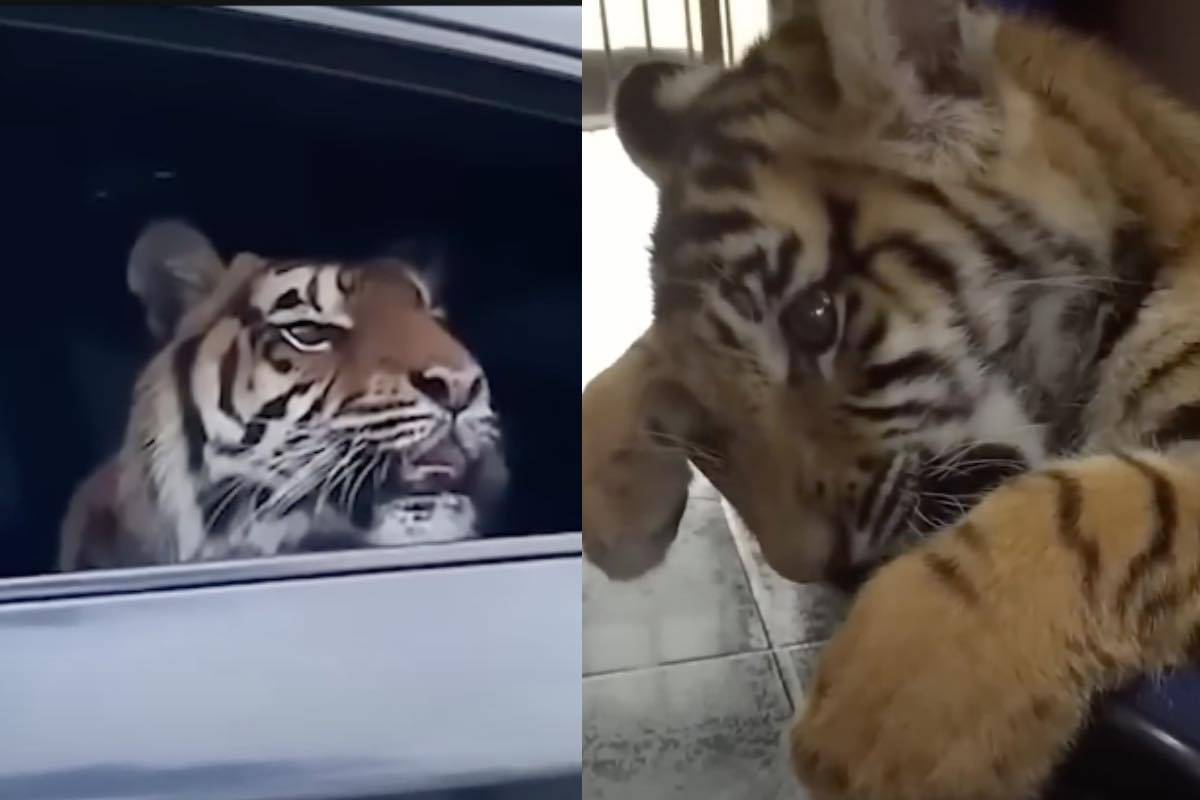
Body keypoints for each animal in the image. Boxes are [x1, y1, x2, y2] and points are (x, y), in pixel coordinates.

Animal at [582, 0, 1200, 797]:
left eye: (815, 319)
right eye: (711, 429)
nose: (819, 573)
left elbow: (1100, 503)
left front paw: (894, 716)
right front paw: (610, 490)